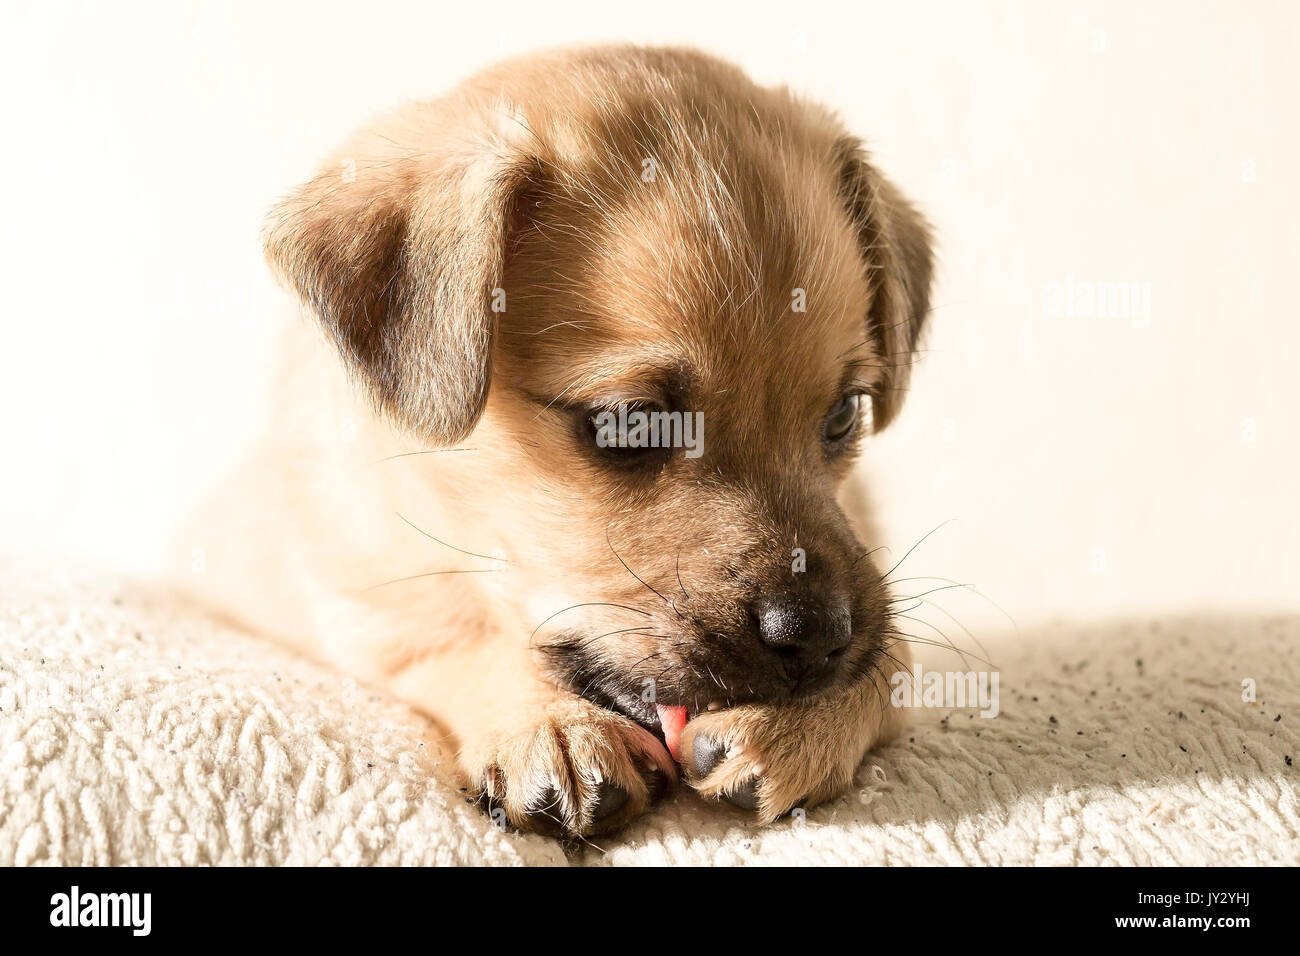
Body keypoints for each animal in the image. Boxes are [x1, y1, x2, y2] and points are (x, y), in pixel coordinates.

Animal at [185, 44, 935, 837]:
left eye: (844, 415)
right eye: (629, 422)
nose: (817, 635)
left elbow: (893, 662)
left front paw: (802, 725)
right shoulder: (365, 610)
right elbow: (456, 640)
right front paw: (552, 726)